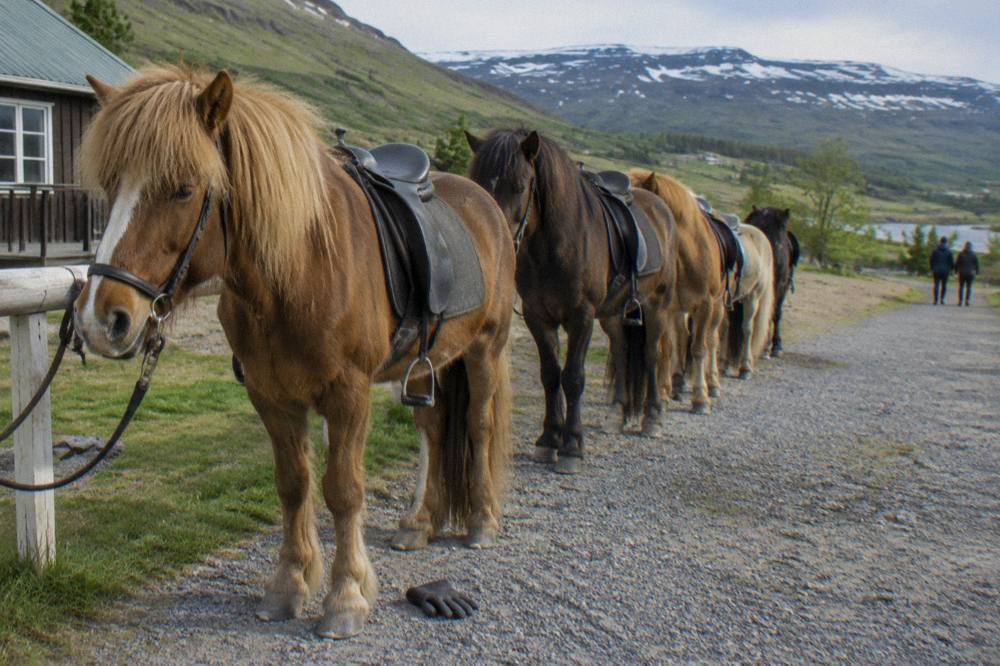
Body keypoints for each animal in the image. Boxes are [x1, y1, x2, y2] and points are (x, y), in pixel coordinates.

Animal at [73, 66, 515, 639]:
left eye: (184, 189)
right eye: (111, 186)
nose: (100, 320)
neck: (299, 268)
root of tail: (485, 203)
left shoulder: (347, 395)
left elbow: (343, 489)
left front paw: (346, 596)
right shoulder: (271, 395)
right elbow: (293, 485)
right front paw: (290, 583)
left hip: (486, 350)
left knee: (480, 425)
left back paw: (482, 520)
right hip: (431, 361)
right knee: (435, 430)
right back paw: (420, 522)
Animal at [465, 129, 677, 473]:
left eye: (520, 186)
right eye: (477, 182)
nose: (495, 242)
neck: (556, 245)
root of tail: (659, 205)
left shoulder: (581, 317)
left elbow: (574, 378)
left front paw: (572, 446)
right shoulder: (538, 316)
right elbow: (550, 375)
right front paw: (548, 440)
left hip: (656, 306)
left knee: (650, 355)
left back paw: (653, 417)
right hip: (614, 315)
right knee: (622, 352)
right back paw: (616, 415)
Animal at [629, 170, 727, 414]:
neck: (689, 253)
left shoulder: (705, 305)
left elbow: (699, 349)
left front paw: (700, 398)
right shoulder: (667, 307)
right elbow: (668, 349)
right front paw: (662, 395)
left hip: (717, 307)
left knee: (711, 340)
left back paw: (712, 384)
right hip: (679, 311)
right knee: (681, 338)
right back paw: (678, 384)